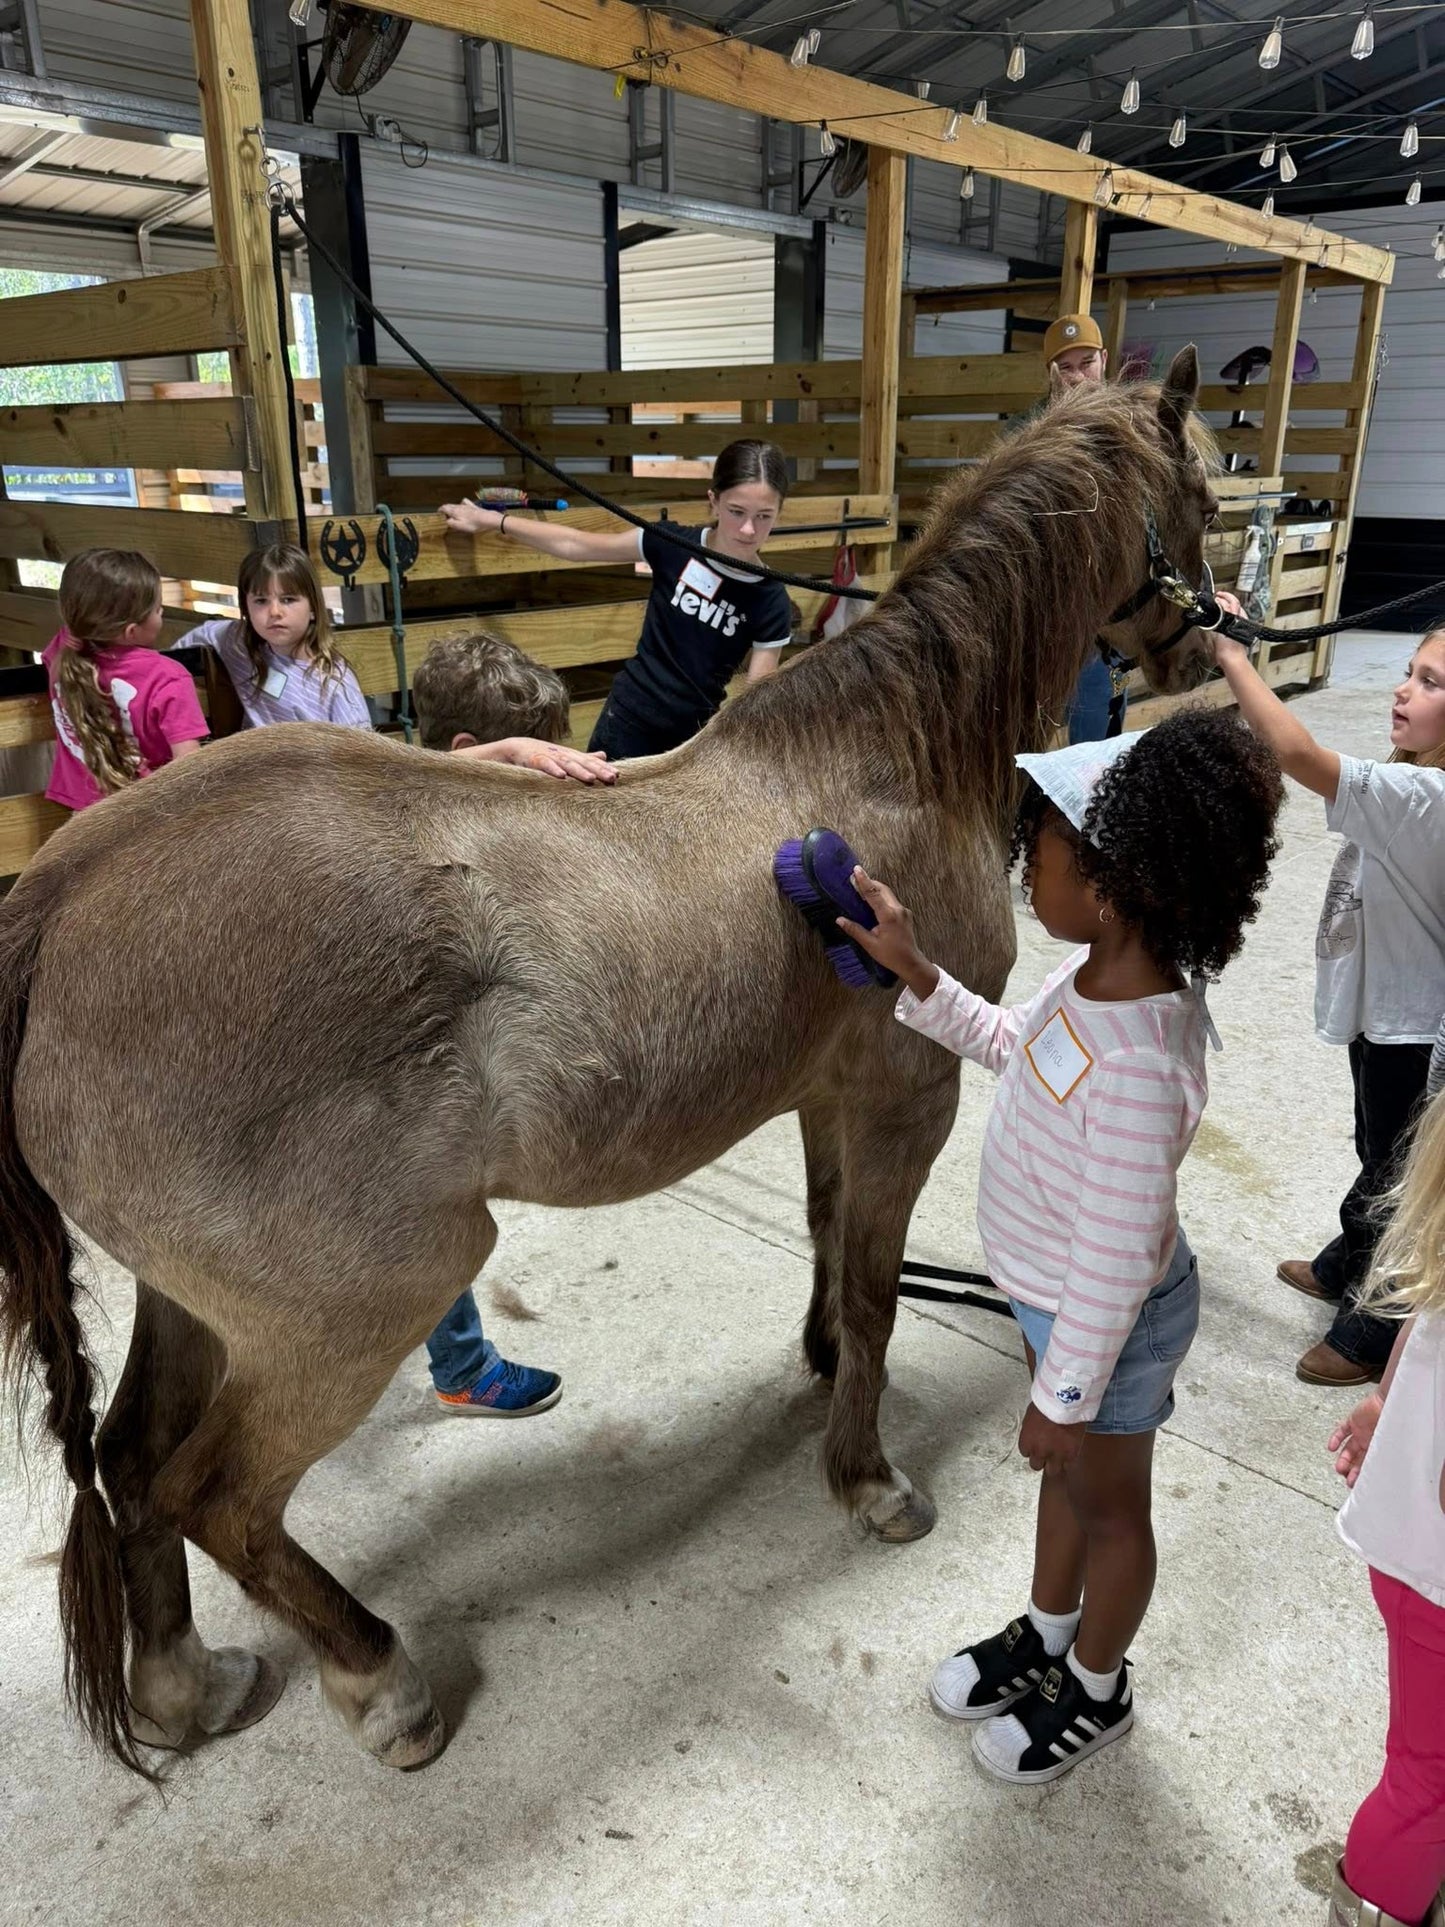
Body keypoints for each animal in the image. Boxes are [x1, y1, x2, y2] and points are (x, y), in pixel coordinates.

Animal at [0, 352, 1219, 1777]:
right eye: (1199, 494)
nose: (1205, 644)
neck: (881, 760)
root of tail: (64, 899)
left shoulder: (824, 1098)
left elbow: (824, 1241)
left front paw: (817, 1375)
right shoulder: (904, 1099)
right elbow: (872, 1288)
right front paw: (866, 1479)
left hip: (193, 1302)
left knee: (132, 1468)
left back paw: (185, 1687)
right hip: (360, 1304)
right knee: (216, 1496)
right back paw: (379, 1682)